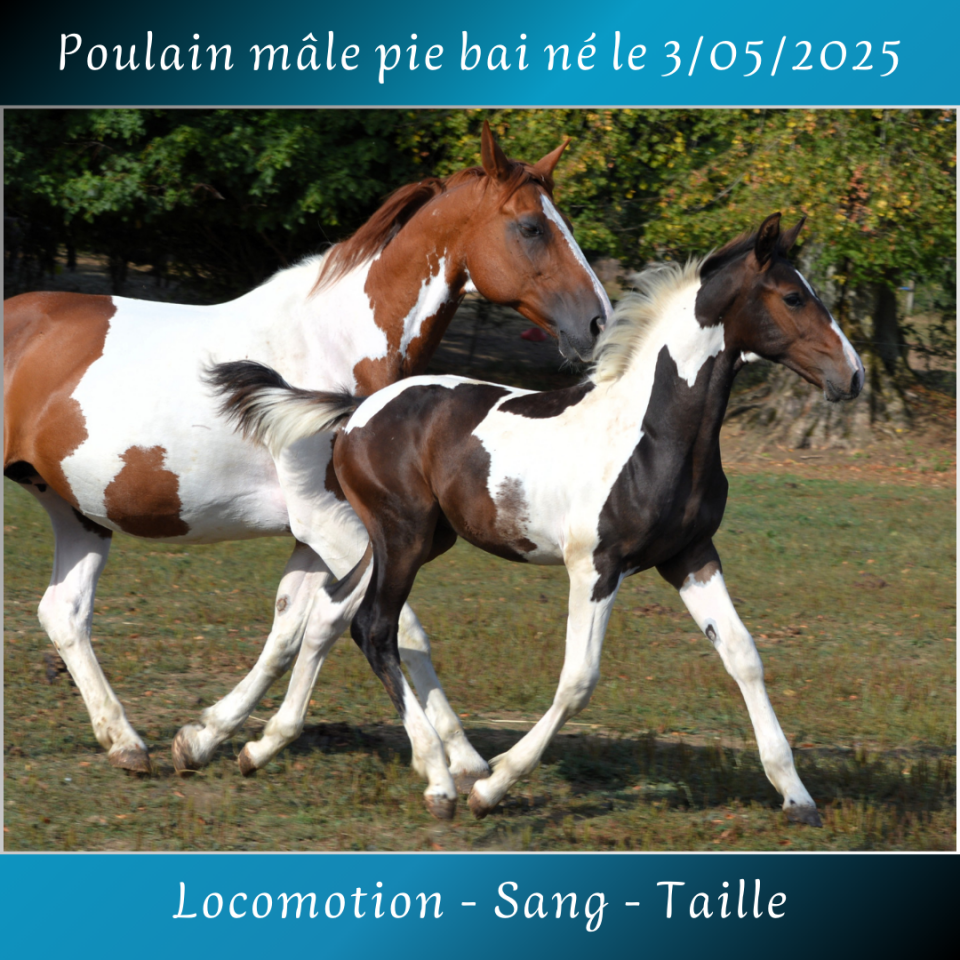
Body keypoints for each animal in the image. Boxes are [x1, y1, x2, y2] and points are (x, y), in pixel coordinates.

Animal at [3, 121, 611, 783]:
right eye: (530, 227)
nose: (599, 321)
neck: (330, 346)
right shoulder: (331, 520)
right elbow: (399, 628)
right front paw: (451, 762)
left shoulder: (325, 532)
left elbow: (296, 625)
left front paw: (209, 737)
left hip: (77, 513)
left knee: (64, 611)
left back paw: (126, 743)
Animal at [209, 213, 864, 823]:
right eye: (793, 296)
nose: (852, 375)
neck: (651, 435)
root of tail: (358, 409)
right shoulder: (595, 566)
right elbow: (578, 680)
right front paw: (493, 787)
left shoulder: (692, 556)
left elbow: (744, 656)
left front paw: (796, 796)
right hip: (403, 537)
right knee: (372, 627)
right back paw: (439, 781)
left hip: (407, 540)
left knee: (327, 613)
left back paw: (257, 747)